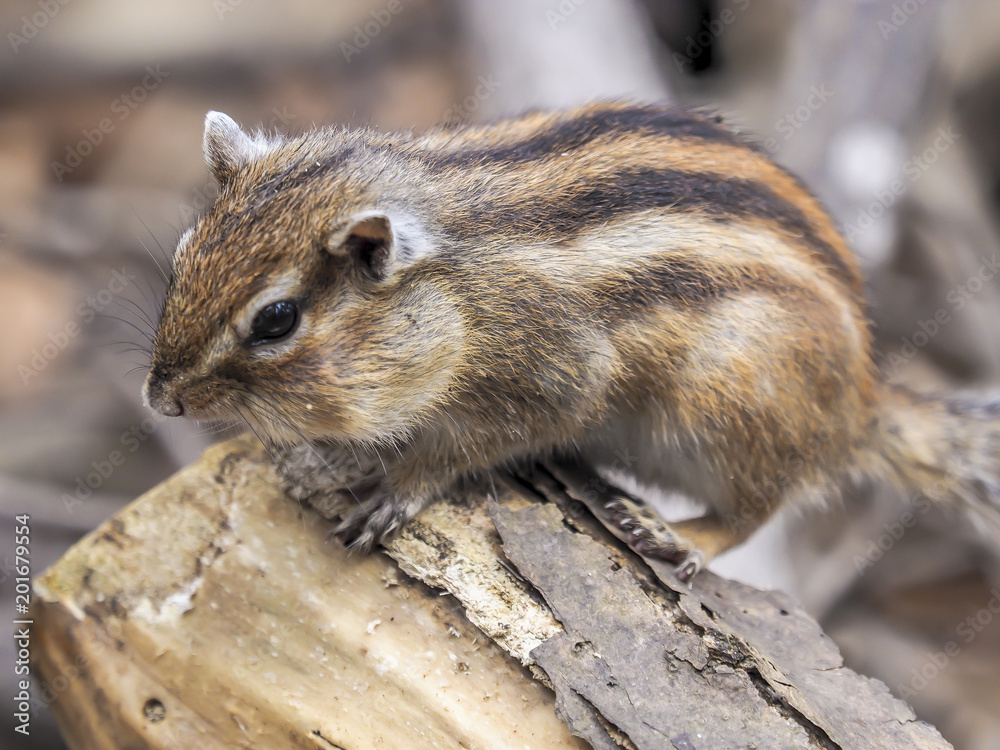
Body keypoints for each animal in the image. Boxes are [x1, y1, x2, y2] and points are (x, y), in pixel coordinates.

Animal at [144, 103, 1000, 580]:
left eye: (277, 319)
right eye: (182, 252)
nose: (160, 400)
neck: (459, 295)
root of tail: (862, 401)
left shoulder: (557, 376)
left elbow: (474, 446)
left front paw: (400, 488)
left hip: (729, 404)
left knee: (759, 507)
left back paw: (675, 531)